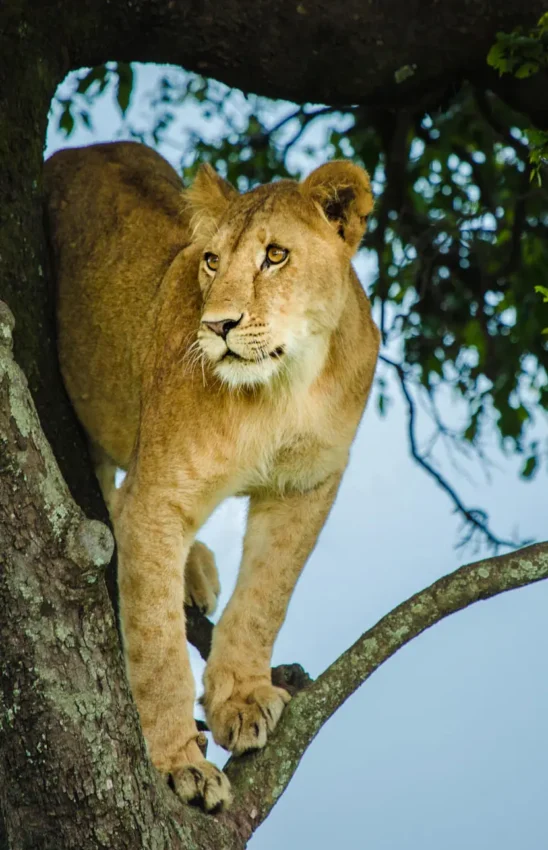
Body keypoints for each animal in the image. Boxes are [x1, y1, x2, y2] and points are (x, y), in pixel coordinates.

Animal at [44, 141, 379, 812]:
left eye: (275, 256)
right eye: (211, 260)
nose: (219, 325)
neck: (283, 388)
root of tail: (80, 147)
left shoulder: (306, 486)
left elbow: (265, 599)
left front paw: (241, 700)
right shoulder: (159, 496)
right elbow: (156, 645)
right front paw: (180, 765)